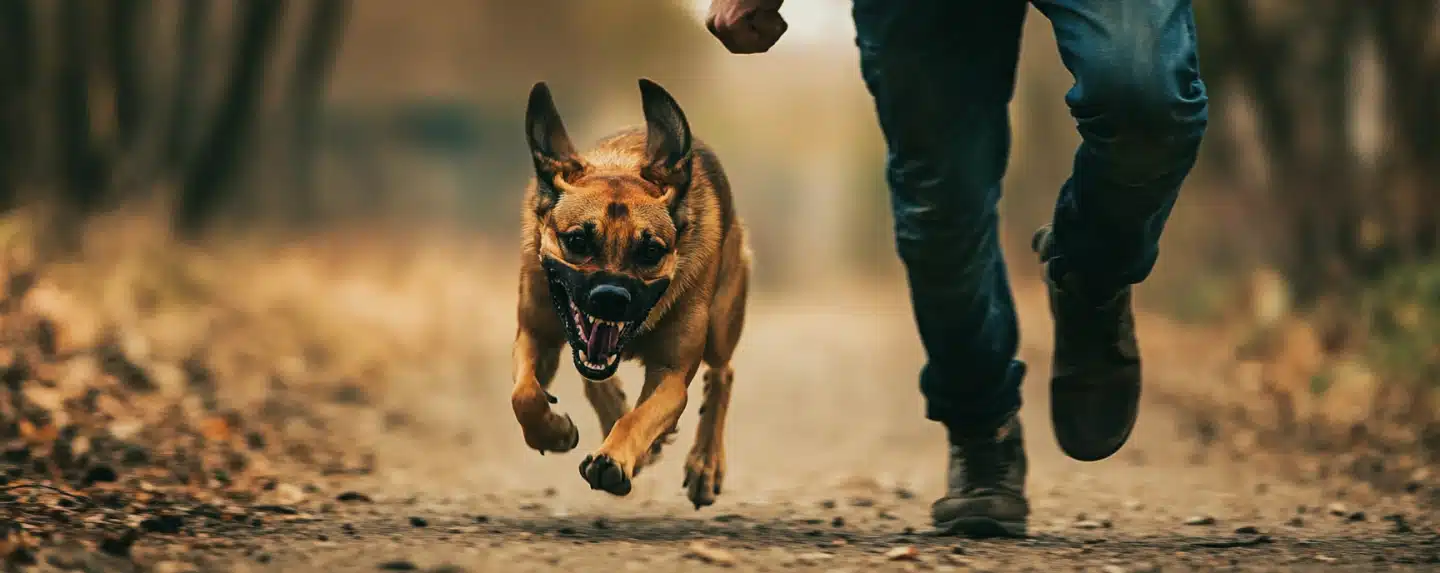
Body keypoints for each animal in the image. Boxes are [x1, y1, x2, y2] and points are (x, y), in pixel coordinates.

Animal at [509, 78, 754, 506]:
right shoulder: (535, 334)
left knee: (722, 373)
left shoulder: (671, 375)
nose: (611, 297)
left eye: (651, 251)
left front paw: (614, 459)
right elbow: (524, 394)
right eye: (577, 240)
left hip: (722, 320)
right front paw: (554, 432)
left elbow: (640, 417)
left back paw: (704, 465)